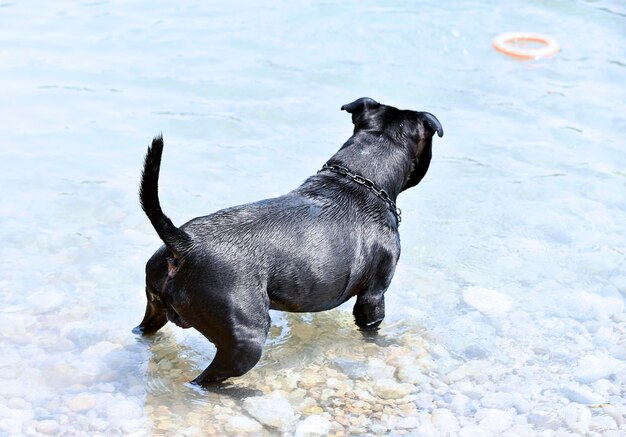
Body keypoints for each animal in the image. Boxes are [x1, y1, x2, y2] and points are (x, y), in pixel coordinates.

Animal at [134, 97, 442, 384]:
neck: (360, 178)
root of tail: (184, 244)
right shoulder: (374, 295)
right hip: (246, 339)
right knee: (205, 380)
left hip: (155, 306)